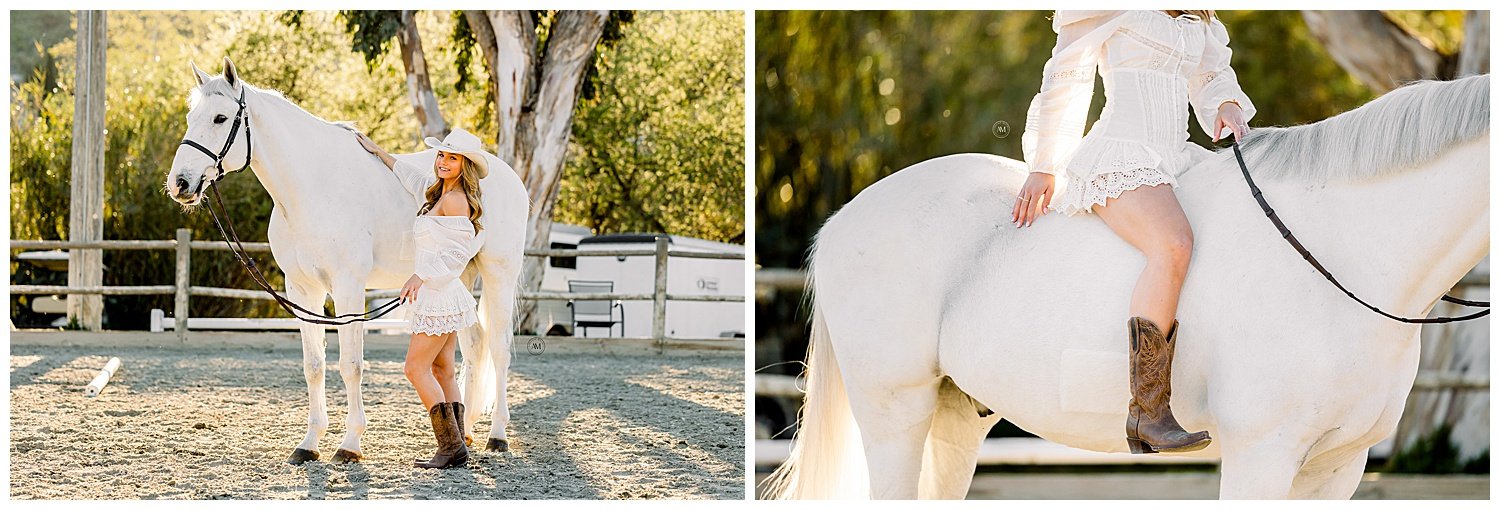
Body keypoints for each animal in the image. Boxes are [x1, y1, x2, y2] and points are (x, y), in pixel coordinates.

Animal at [162, 57, 528, 465]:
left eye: (221, 118)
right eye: (191, 116)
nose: (180, 183)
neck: (312, 188)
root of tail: (505, 173)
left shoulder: (348, 286)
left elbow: (351, 365)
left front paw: (349, 444)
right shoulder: (301, 289)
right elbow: (314, 366)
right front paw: (309, 443)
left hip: (498, 275)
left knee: (499, 347)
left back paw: (498, 436)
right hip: (459, 276)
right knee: (474, 345)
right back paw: (464, 433)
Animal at [774, 75, 1488, 498]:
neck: (1341, 249)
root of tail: (843, 219)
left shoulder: (1340, 463)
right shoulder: (1263, 455)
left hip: (955, 416)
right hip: (896, 411)